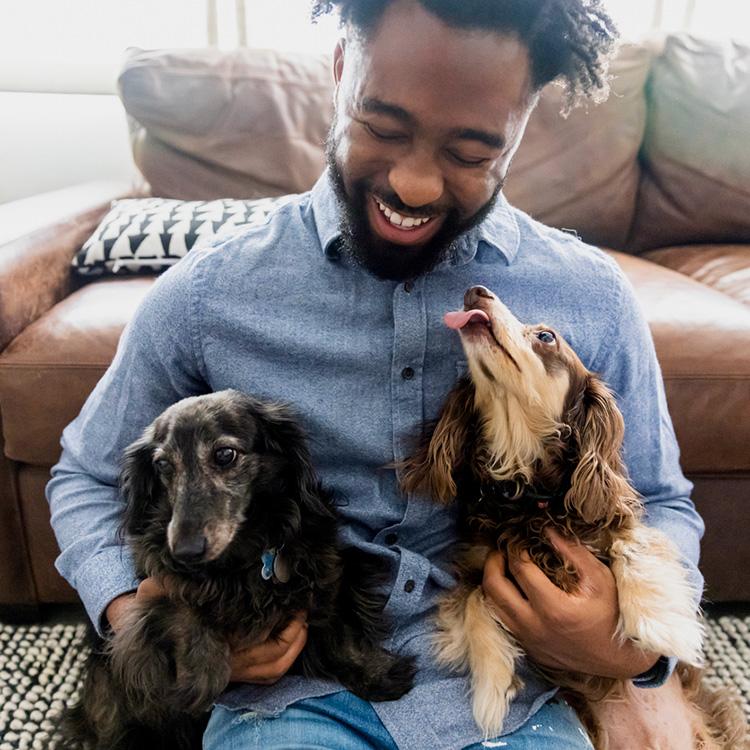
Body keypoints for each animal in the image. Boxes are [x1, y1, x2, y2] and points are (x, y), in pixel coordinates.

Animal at [60, 394, 418, 750]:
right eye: (162, 465)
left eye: (224, 454)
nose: (185, 551)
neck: (243, 554)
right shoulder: (156, 583)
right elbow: (179, 602)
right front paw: (202, 668)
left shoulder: (326, 567)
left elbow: (339, 625)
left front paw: (377, 673)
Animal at [406, 286, 748, 748]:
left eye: (546, 337)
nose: (476, 291)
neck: (528, 495)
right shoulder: (476, 565)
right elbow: (476, 603)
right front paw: (494, 685)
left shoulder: (615, 525)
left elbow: (633, 547)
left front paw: (659, 624)